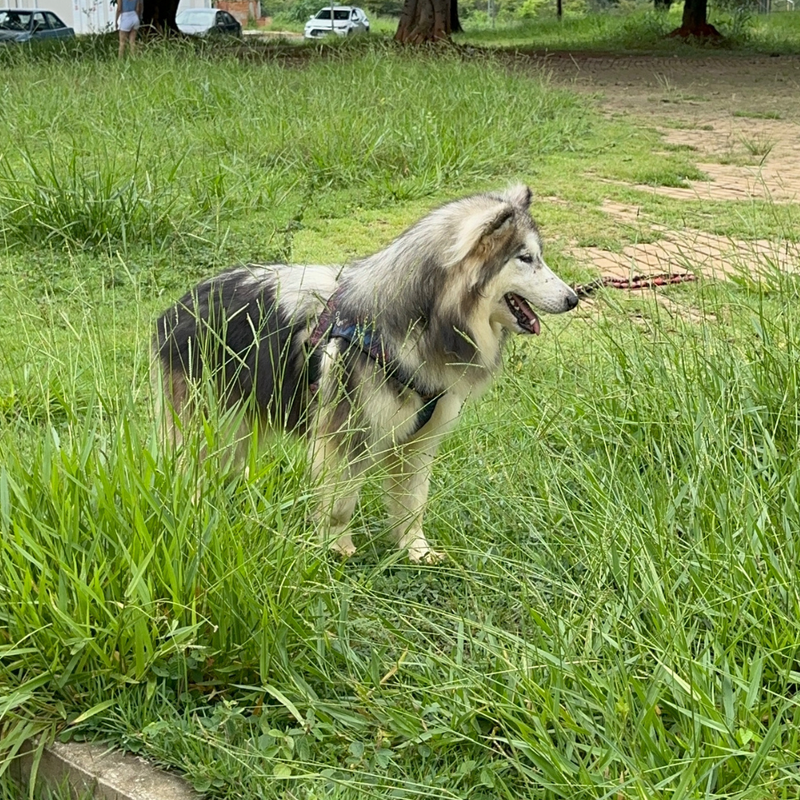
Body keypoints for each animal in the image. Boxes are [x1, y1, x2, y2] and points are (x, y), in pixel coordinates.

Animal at [153, 187, 576, 564]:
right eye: (526, 258)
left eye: (538, 257)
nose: (573, 298)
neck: (423, 319)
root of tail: (179, 306)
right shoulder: (344, 434)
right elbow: (340, 501)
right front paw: (337, 546)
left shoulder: (419, 441)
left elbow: (414, 503)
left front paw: (416, 550)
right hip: (208, 423)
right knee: (189, 468)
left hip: (237, 425)